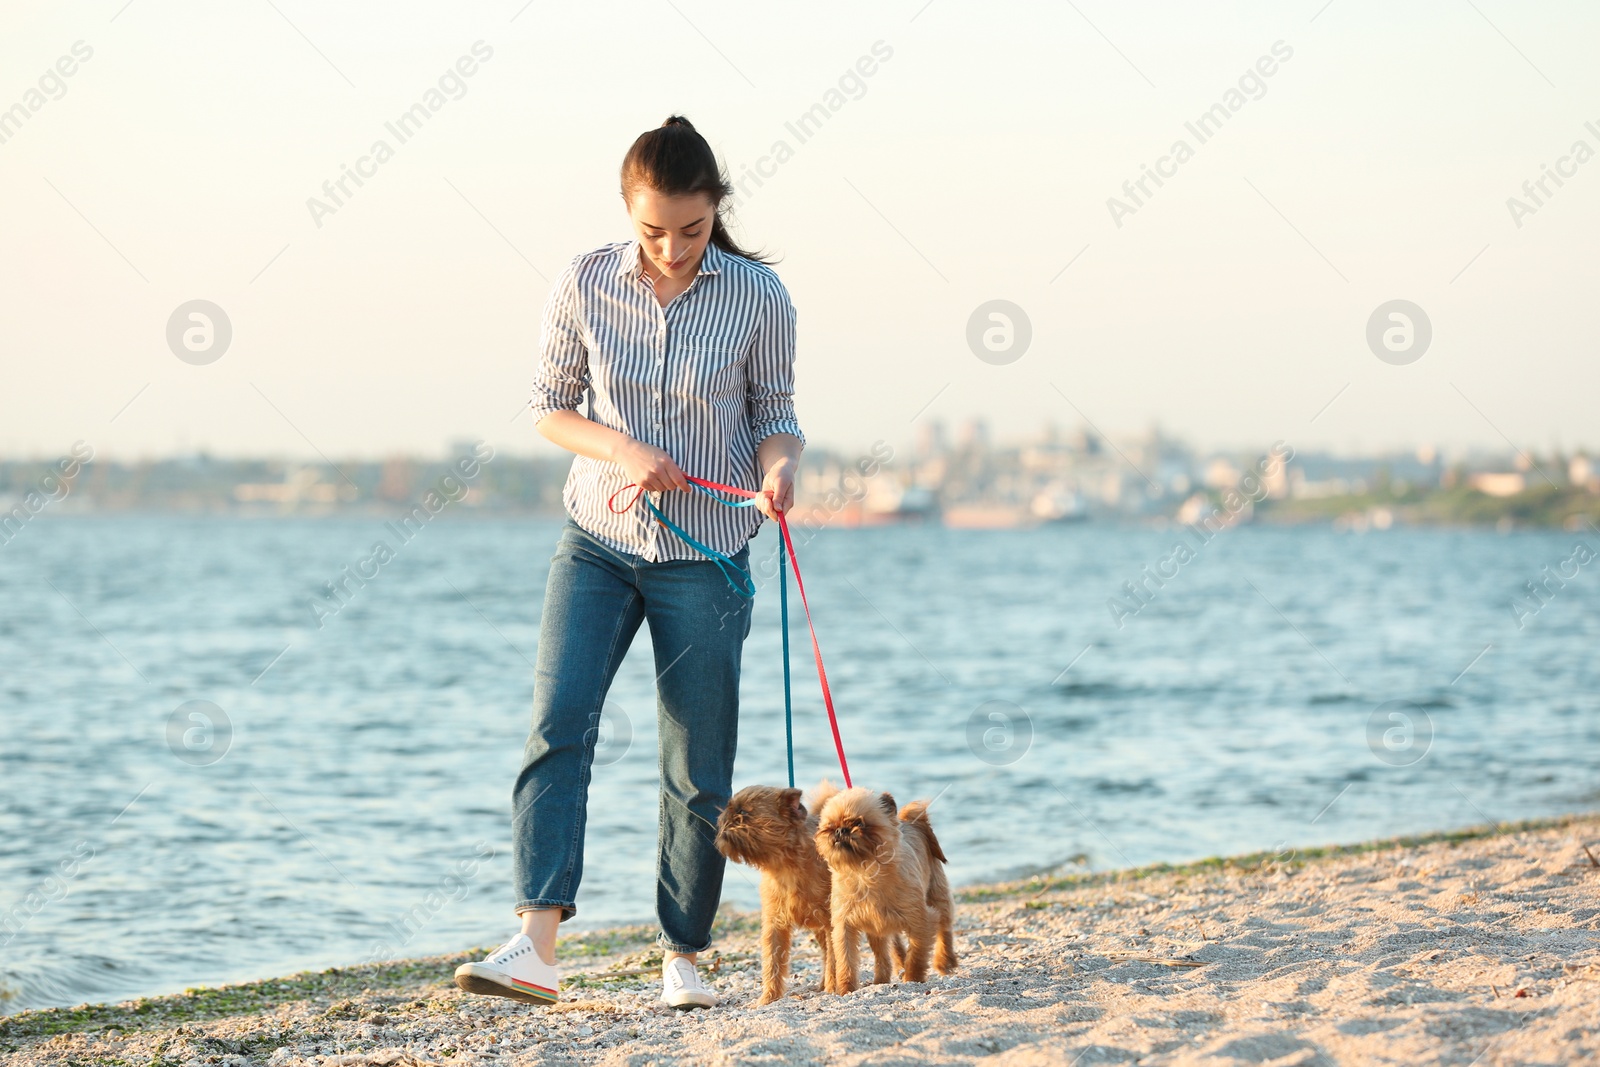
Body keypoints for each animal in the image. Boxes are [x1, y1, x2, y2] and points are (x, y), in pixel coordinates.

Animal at [720, 783, 851, 1004]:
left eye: (743, 813)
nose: (724, 817)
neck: (785, 865)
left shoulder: (832, 923)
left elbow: (835, 959)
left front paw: (833, 989)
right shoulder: (775, 925)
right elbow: (772, 962)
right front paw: (768, 998)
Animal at [819, 783, 953, 991]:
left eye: (860, 823)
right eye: (829, 826)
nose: (841, 830)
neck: (865, 871)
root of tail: (911, 823)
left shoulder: (921, 920)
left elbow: (917, 955)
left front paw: (912, 978)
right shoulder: (844, 926)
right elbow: (846, 960)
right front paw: (846, 988)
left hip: (938, 897)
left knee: (945, 929)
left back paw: (944, 961)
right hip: (877, 930)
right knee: (883, 955)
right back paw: (880, 980)